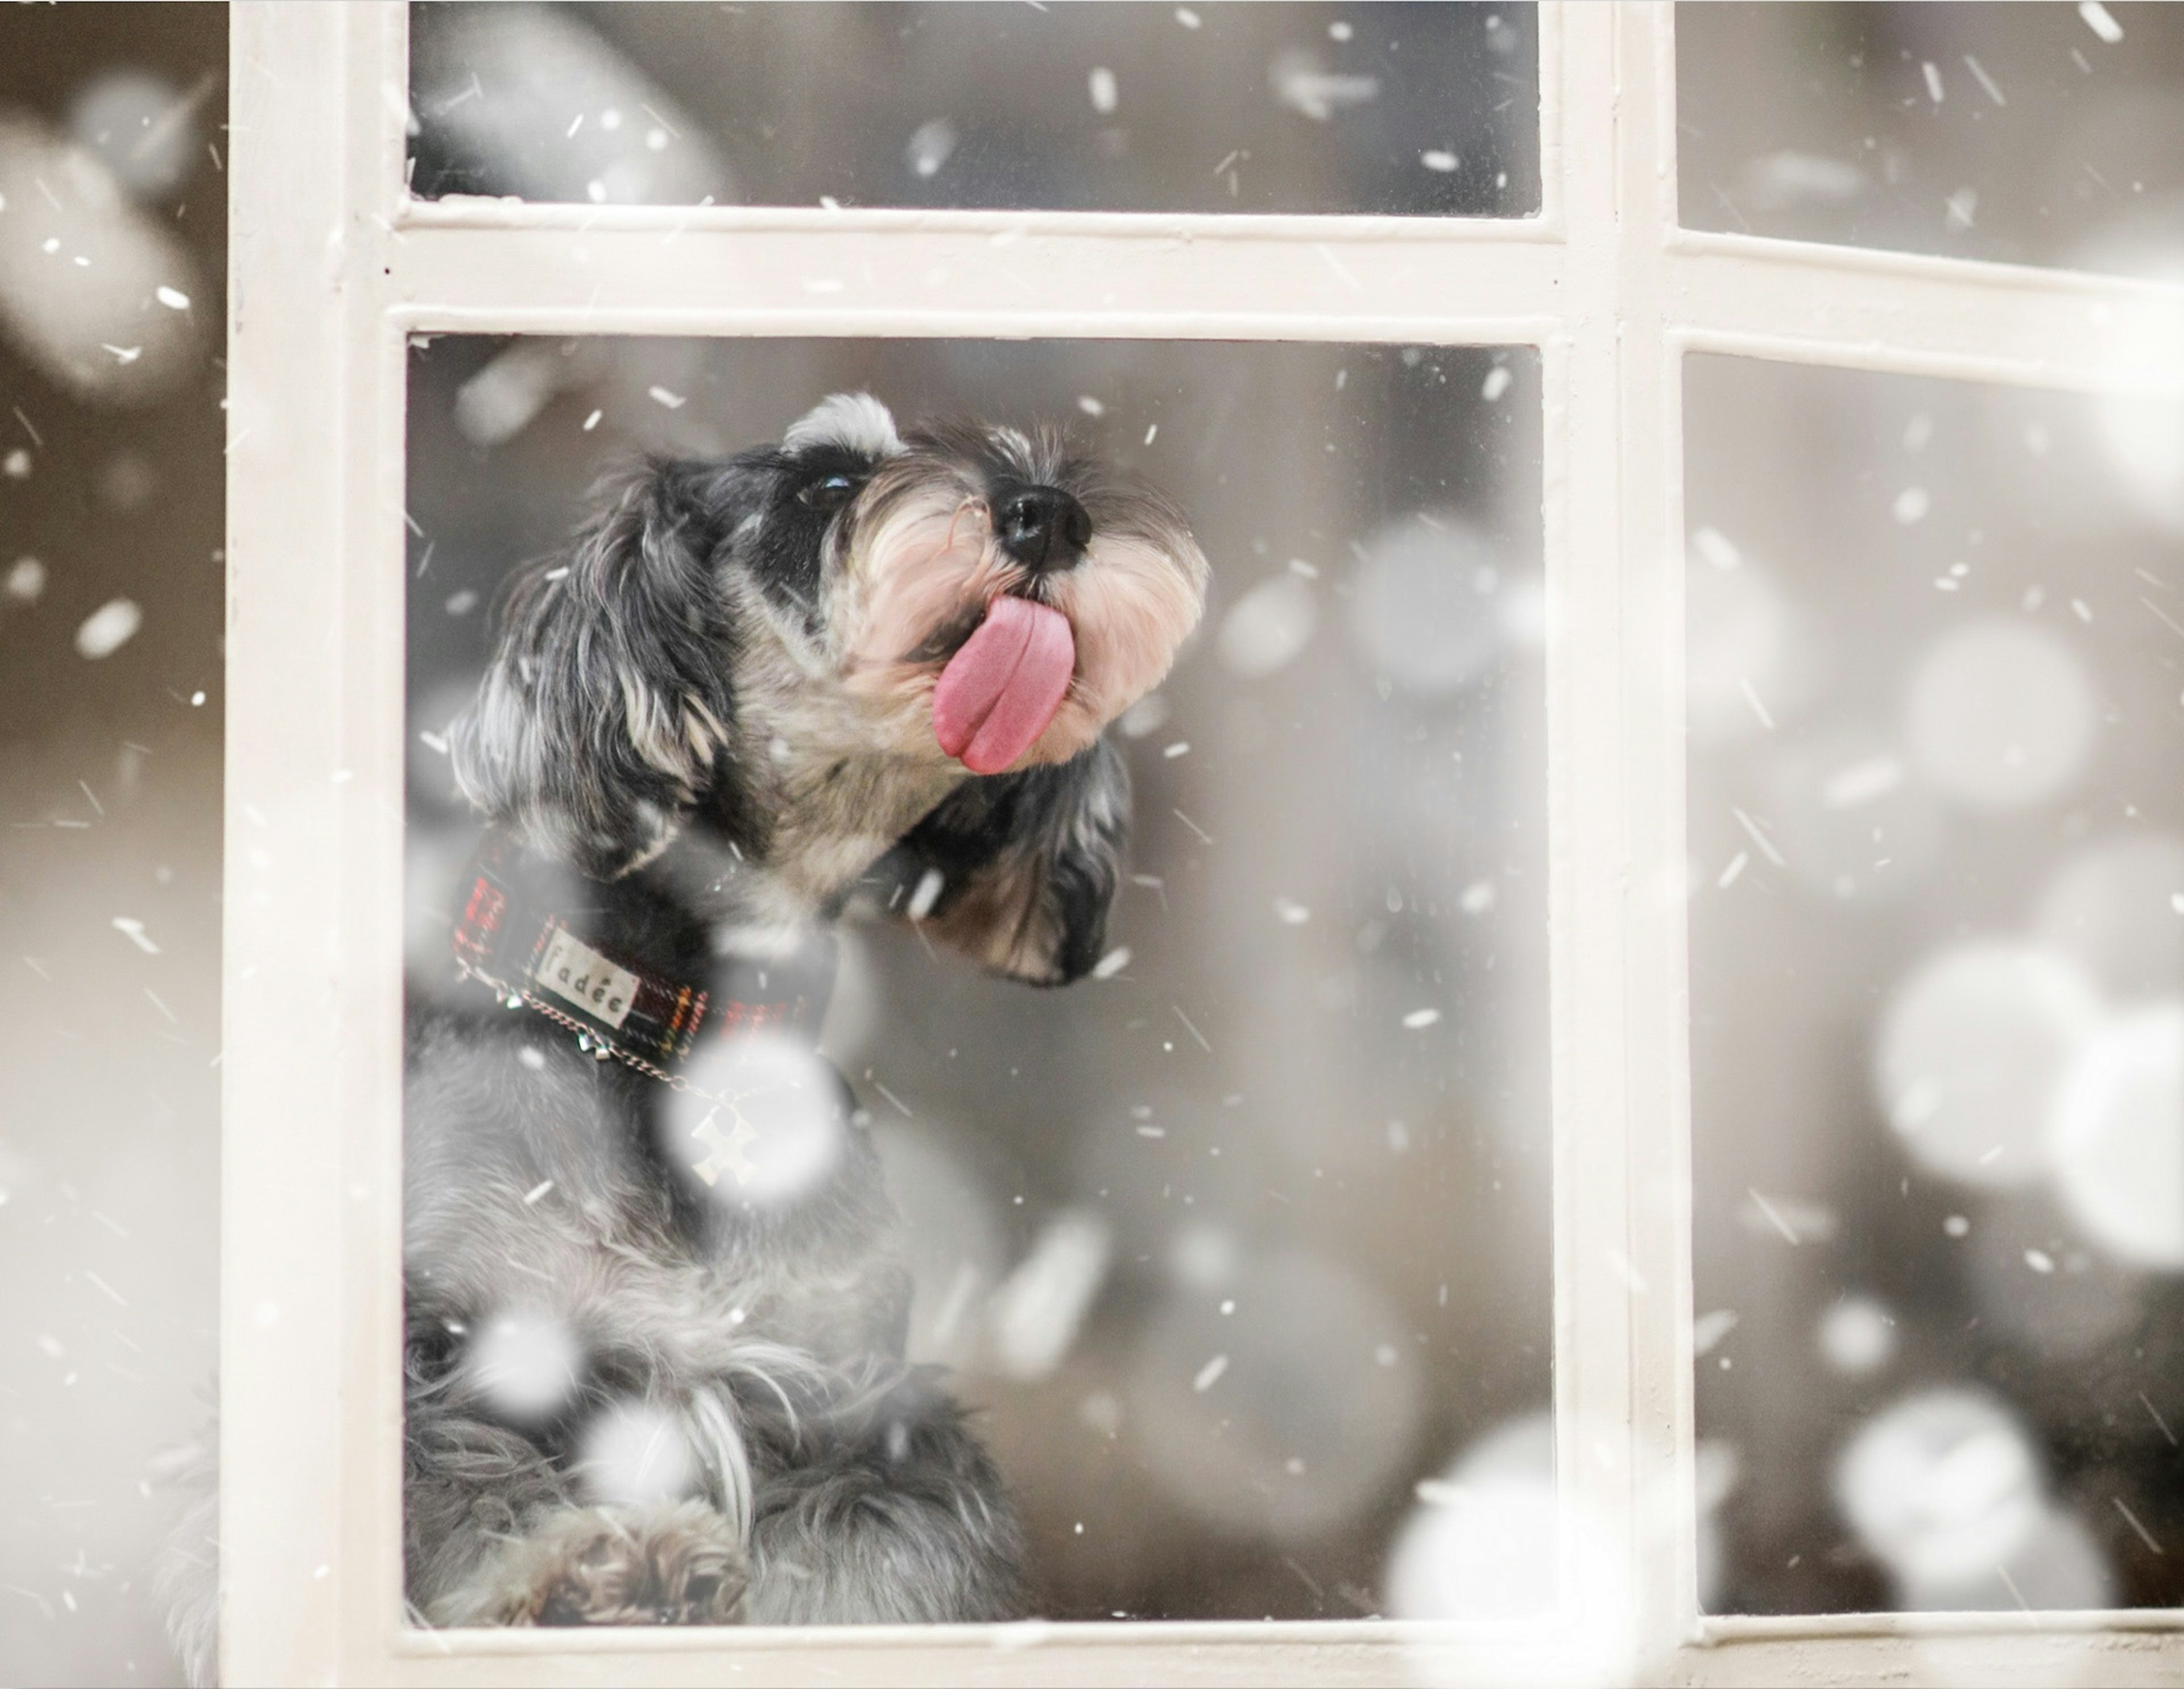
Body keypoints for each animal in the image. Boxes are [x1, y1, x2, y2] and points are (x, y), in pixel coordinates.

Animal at [166, 391, 1214, 1661]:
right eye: (824, 484)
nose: (1053, 514)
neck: (677, 1040)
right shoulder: (448, 1341)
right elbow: (450, 1485)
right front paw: (575, 1572)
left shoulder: (846, 1410)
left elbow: (879, 1559)